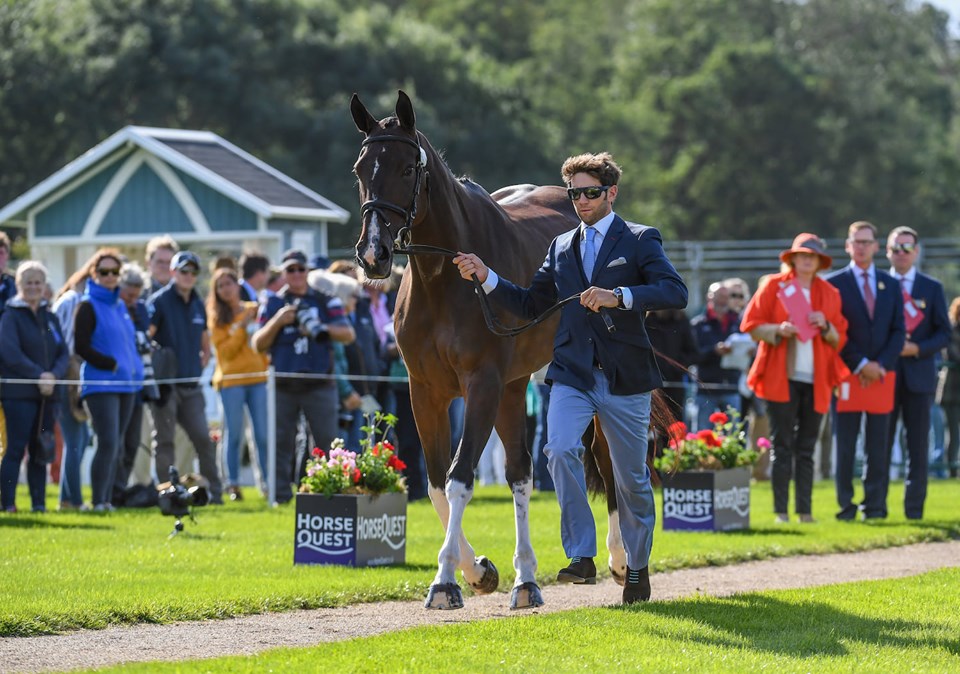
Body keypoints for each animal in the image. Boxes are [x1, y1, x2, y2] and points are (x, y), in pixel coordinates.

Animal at [348, 90, 628, 608]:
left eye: (406, 168)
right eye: (360, 168)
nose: (373, 254)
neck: (444, 281)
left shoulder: (481, 384)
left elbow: (460, 478)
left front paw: (444, 582)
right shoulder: (426, 392)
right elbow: (436, 482)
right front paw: (478, 571)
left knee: (607, 457)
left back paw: (620, 560)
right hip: (516, 388)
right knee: (521, 473)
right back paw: (527, 579)